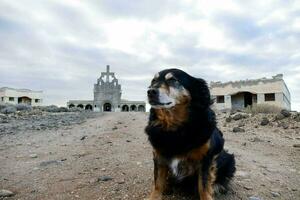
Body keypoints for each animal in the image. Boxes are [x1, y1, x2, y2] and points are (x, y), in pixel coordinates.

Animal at [145, 69, 237, 200]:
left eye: (172, 80)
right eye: (153, 81)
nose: (150, 92)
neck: (176, 128)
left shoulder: (206, 158)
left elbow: (203, 185)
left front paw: (207, 195)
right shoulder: (159, 155)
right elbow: (158, 182)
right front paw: (154, 196)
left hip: (230, 161)